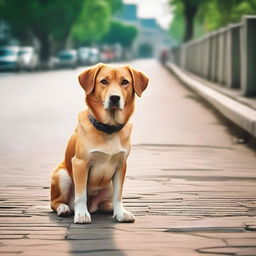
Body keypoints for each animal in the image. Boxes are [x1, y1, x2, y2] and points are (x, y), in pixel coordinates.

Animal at [49, 64, 148, 224]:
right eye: (104, 81)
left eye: (125, 82)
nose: (114, 97)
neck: (108, 129)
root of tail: (92, 206)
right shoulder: (80, 163)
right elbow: (81, 194)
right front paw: (82, 214)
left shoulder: (121, 165)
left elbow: (118, 195)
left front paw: (120, 212)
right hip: (63, 176)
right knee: (55, 202)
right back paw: (64, 208)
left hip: (108, 185)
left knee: (104, 203)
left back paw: (108, 208)